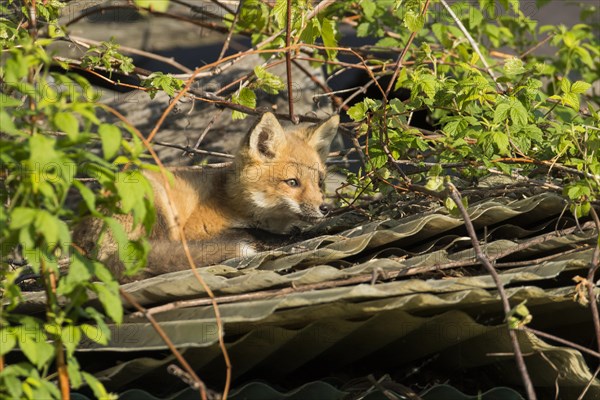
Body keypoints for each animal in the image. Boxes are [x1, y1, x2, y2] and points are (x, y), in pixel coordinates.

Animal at [76, 112, 338, 282]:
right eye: (292, 182)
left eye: (320, 182)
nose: (326, 208)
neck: (235, 200)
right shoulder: (193, 229)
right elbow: (253, 232)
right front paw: (290, 240)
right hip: (154, 202)